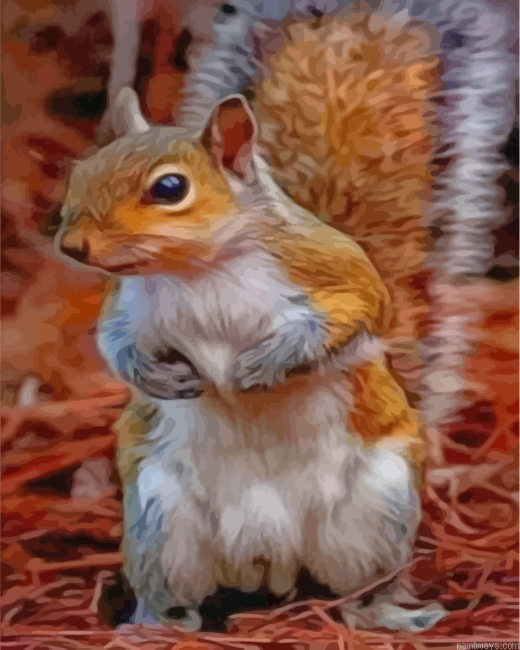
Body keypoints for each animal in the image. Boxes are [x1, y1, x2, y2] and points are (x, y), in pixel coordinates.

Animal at [58, 87, 447, 632]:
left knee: (360, 590)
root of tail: (272, 557)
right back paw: (155, 626)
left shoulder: (333, 269)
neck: (202, 269)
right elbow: (115, 344)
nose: (72, 246)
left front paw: (263, 366)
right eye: (82, 171)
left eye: (170, 188)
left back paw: (385, 614)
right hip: (160, 523)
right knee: (175, 595)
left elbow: (358, 311)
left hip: (376, 512)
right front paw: (154, 376)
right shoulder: (130, 308)